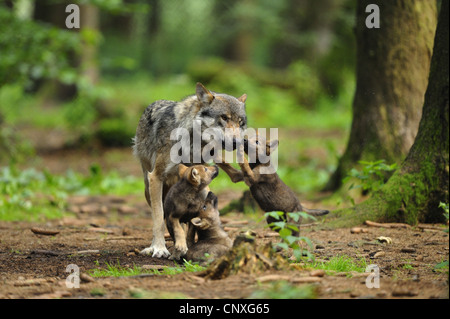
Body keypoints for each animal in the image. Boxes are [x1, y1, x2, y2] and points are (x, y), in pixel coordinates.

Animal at [132, 82, 248, 258]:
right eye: (224, 117)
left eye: (240, 122)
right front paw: (159, 248)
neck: (193, 141)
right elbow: (158, 219)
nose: (237, 143)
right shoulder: (156, 177)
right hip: (148, 187)